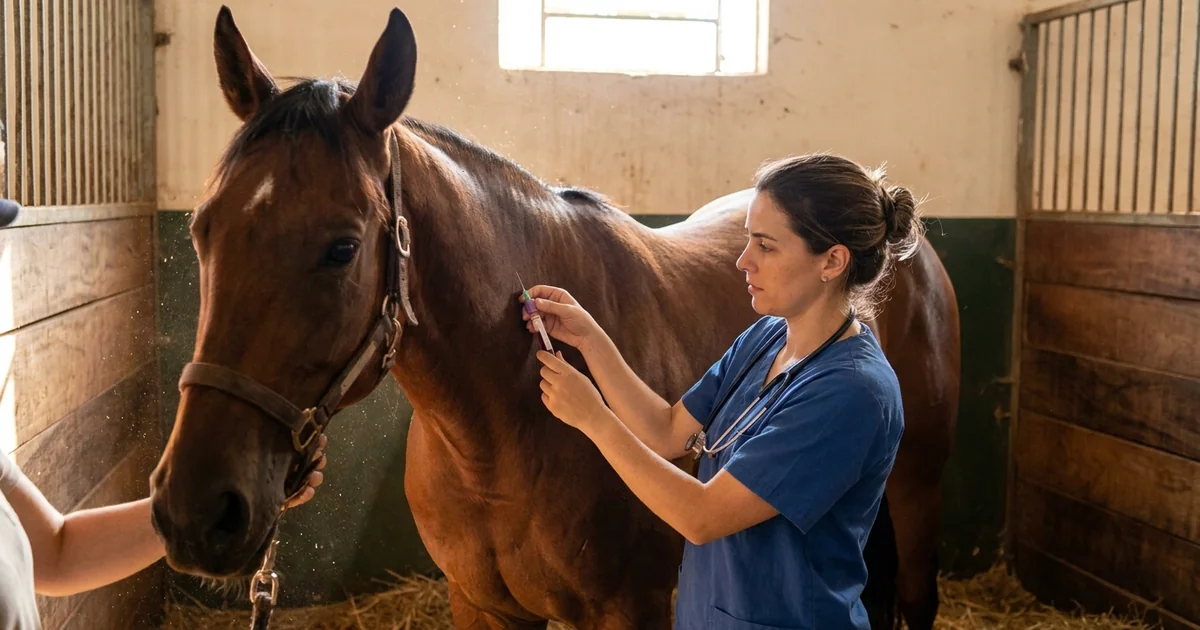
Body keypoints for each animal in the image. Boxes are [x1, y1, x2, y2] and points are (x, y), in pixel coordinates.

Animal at [147, 6, 960, 629]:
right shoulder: (481, 605)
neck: (497, 434)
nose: (194, 510)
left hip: (918, 488)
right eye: (201, 229)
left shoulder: (632, 609)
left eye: (342, 247)